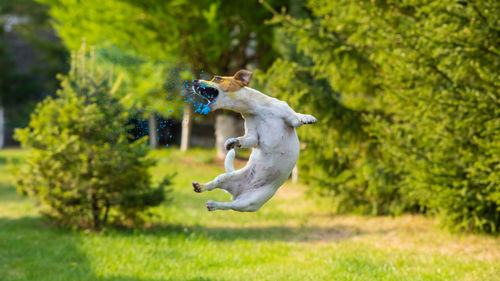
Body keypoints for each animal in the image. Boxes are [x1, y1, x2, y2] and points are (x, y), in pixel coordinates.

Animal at [191, 69, 316, 210]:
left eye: (217, 78)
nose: (194, 80)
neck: (258, 110)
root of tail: (238, 192)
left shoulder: (290, 118)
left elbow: (297, 117)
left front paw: (306, 117)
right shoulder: (252, 136)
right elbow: (246, 139)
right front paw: (232, 142)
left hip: (249, 202)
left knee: (229, 205)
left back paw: (211, 202)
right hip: (228, 182)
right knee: (220, 195)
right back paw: (204, 191)